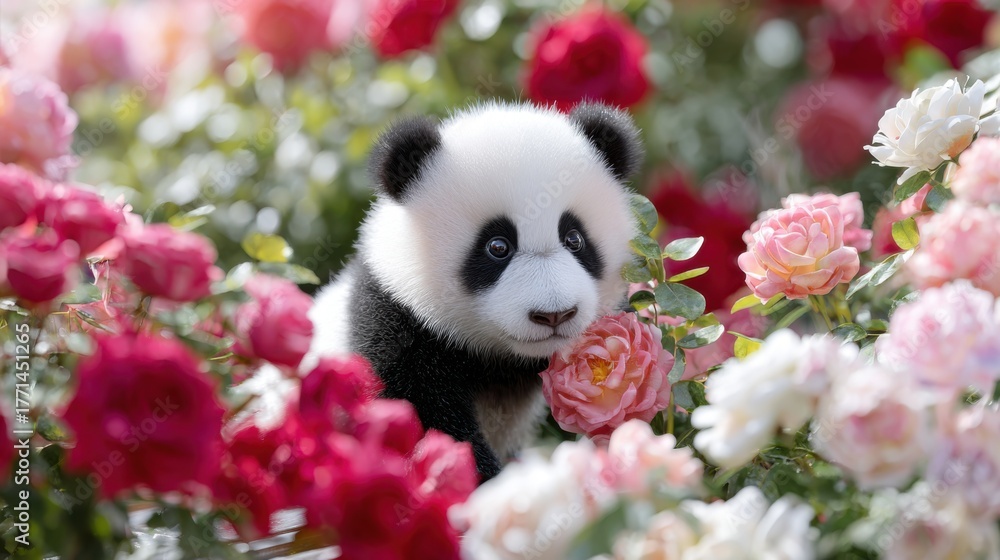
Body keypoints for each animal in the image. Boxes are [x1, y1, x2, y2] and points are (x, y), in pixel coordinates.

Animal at [307, 101, 642, 480]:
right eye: (497, 246)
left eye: (574, 239)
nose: (554, 314)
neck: (499, 359)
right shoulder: (395, 324)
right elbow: (419, 428)